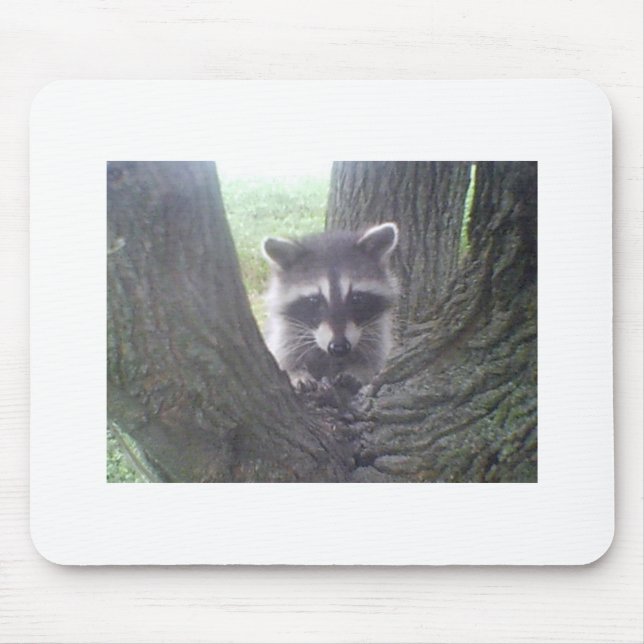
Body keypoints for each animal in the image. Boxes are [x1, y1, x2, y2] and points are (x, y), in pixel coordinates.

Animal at [261, 222, 399, 388]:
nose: (339, 347)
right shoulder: (286, 331)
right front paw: (295, 371)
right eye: (314, 300)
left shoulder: (376, 331)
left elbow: (373, 357)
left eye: (356, 298)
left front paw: (360, 370)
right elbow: (284, 354)